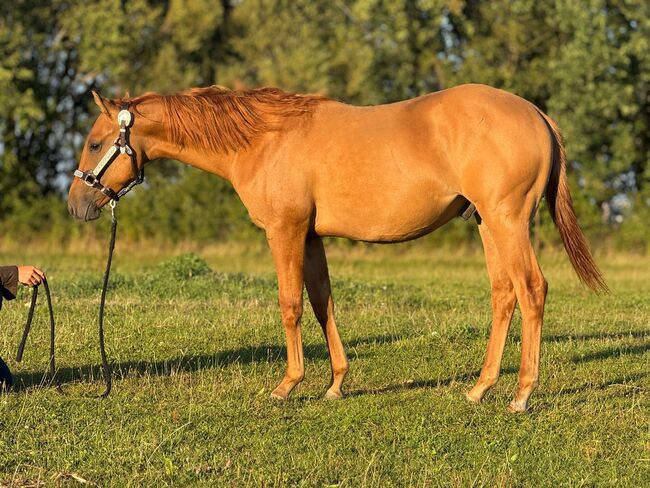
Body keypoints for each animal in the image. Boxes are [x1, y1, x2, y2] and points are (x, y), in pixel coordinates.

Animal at [68, 84, 607, 412]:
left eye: (94, 143)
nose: (77, 204)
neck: (263, 139)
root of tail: (536, 114)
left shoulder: (284, 231)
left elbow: (289, 304)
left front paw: (287, 386)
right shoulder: (310, 237)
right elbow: (322, 303)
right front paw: (335, 383)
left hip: (507, 221)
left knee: (532, 290)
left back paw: (521, 394)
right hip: (487, 225)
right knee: (504, 294)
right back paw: (480, 388)